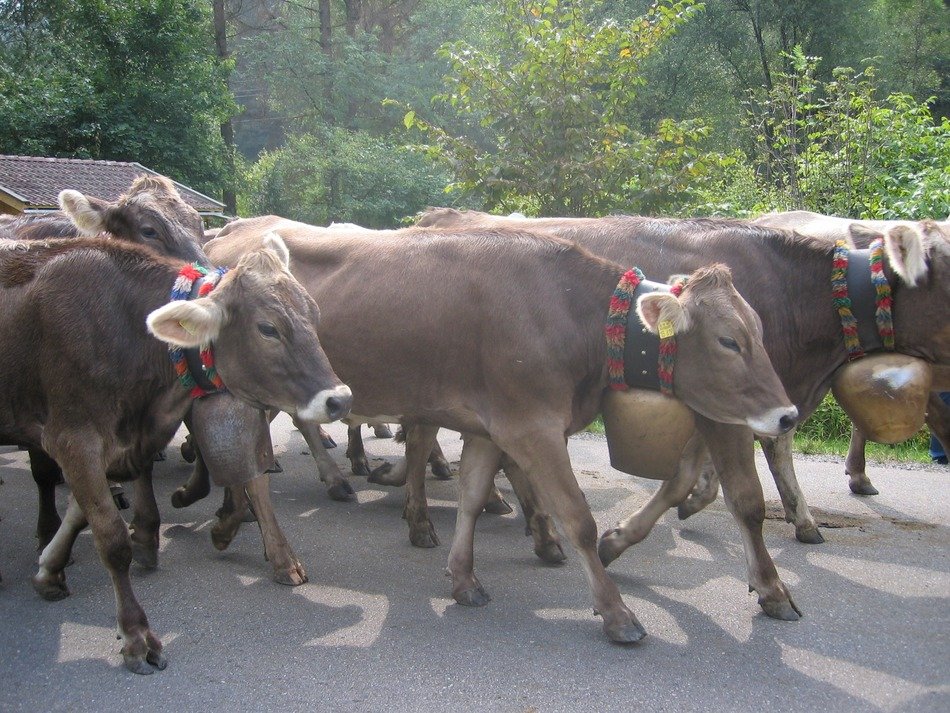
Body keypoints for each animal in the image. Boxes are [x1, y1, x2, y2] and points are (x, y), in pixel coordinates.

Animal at [0, 233, 350, 673]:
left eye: (314, 314)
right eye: (268, 328)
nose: (340, 399)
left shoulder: (119, 443)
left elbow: (83, 513)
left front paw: (49, 569)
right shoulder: (73, 437)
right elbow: (111, 538)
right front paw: (136, 635)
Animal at [200, 216, 800, 643]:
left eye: (759, 330)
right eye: (729, 341)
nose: (788, 415)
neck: (570, 313)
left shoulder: (493, 426)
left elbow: (471, 495)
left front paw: (464, 578)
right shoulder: (532, 426)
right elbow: (579, 520)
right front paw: (616, 612)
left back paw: (233, 522)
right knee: (250, 464)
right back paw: (274, 542)